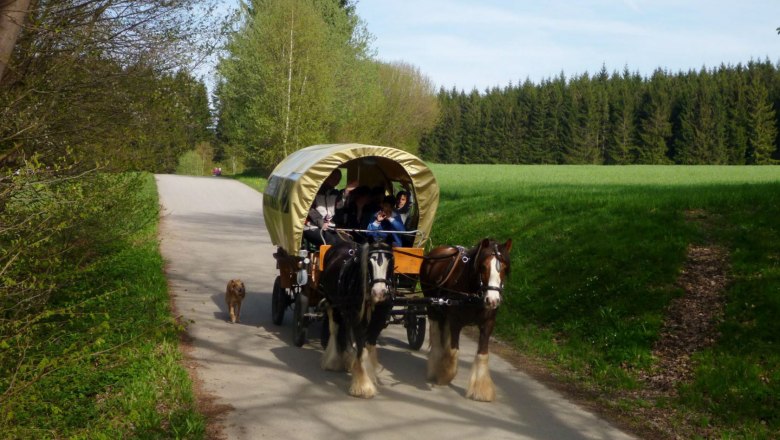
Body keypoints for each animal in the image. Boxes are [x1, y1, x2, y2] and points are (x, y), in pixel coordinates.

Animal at [420, 239, 512, 400]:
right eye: (483, 267)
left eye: (504, 268)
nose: (493, 300)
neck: (474, 294)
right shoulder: (455, 321)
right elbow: (453, 350)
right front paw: (445, 376)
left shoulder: (487, 325)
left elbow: (483, 354)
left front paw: (481, 390)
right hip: (432, 306)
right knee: (436, 333)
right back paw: (434, 366)